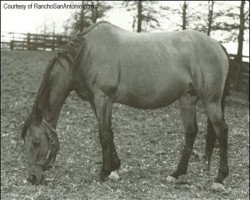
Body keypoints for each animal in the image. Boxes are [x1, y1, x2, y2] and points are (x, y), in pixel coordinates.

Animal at [21, 21, 229, 191]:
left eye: (36, 142)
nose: (32, 178)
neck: (85, 53)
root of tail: (217, 44)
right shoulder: (95, 101)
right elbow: (109, 132)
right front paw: (115, 168)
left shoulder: (103, 98)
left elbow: (103, 134)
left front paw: (104, 172)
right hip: (187, 98)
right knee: (191, 132)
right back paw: (177, 173)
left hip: (211, 101)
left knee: (222, 131)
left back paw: (220, 178)